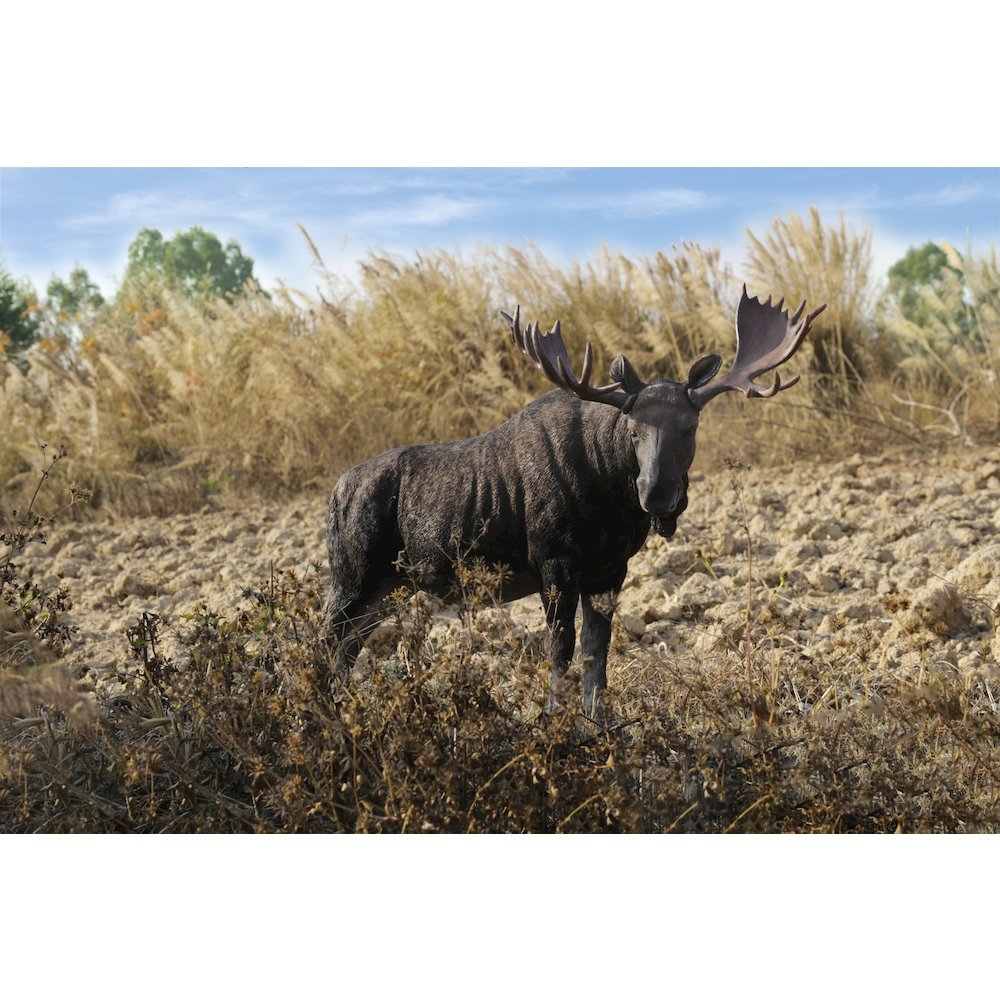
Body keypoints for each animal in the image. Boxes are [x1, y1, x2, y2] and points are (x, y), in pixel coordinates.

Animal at [322, 287, 825, 715]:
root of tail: (335, 491)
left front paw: (598, 721)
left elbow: (595, 654)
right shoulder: (555, 560)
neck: (610, 502)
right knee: (326, 640)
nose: (658, 494)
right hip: (353, 576)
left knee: (346, 650)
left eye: (692, 426)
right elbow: (560, 651)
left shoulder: (611, 567)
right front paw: (555, 720)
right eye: (632, 428)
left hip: (387, 586)